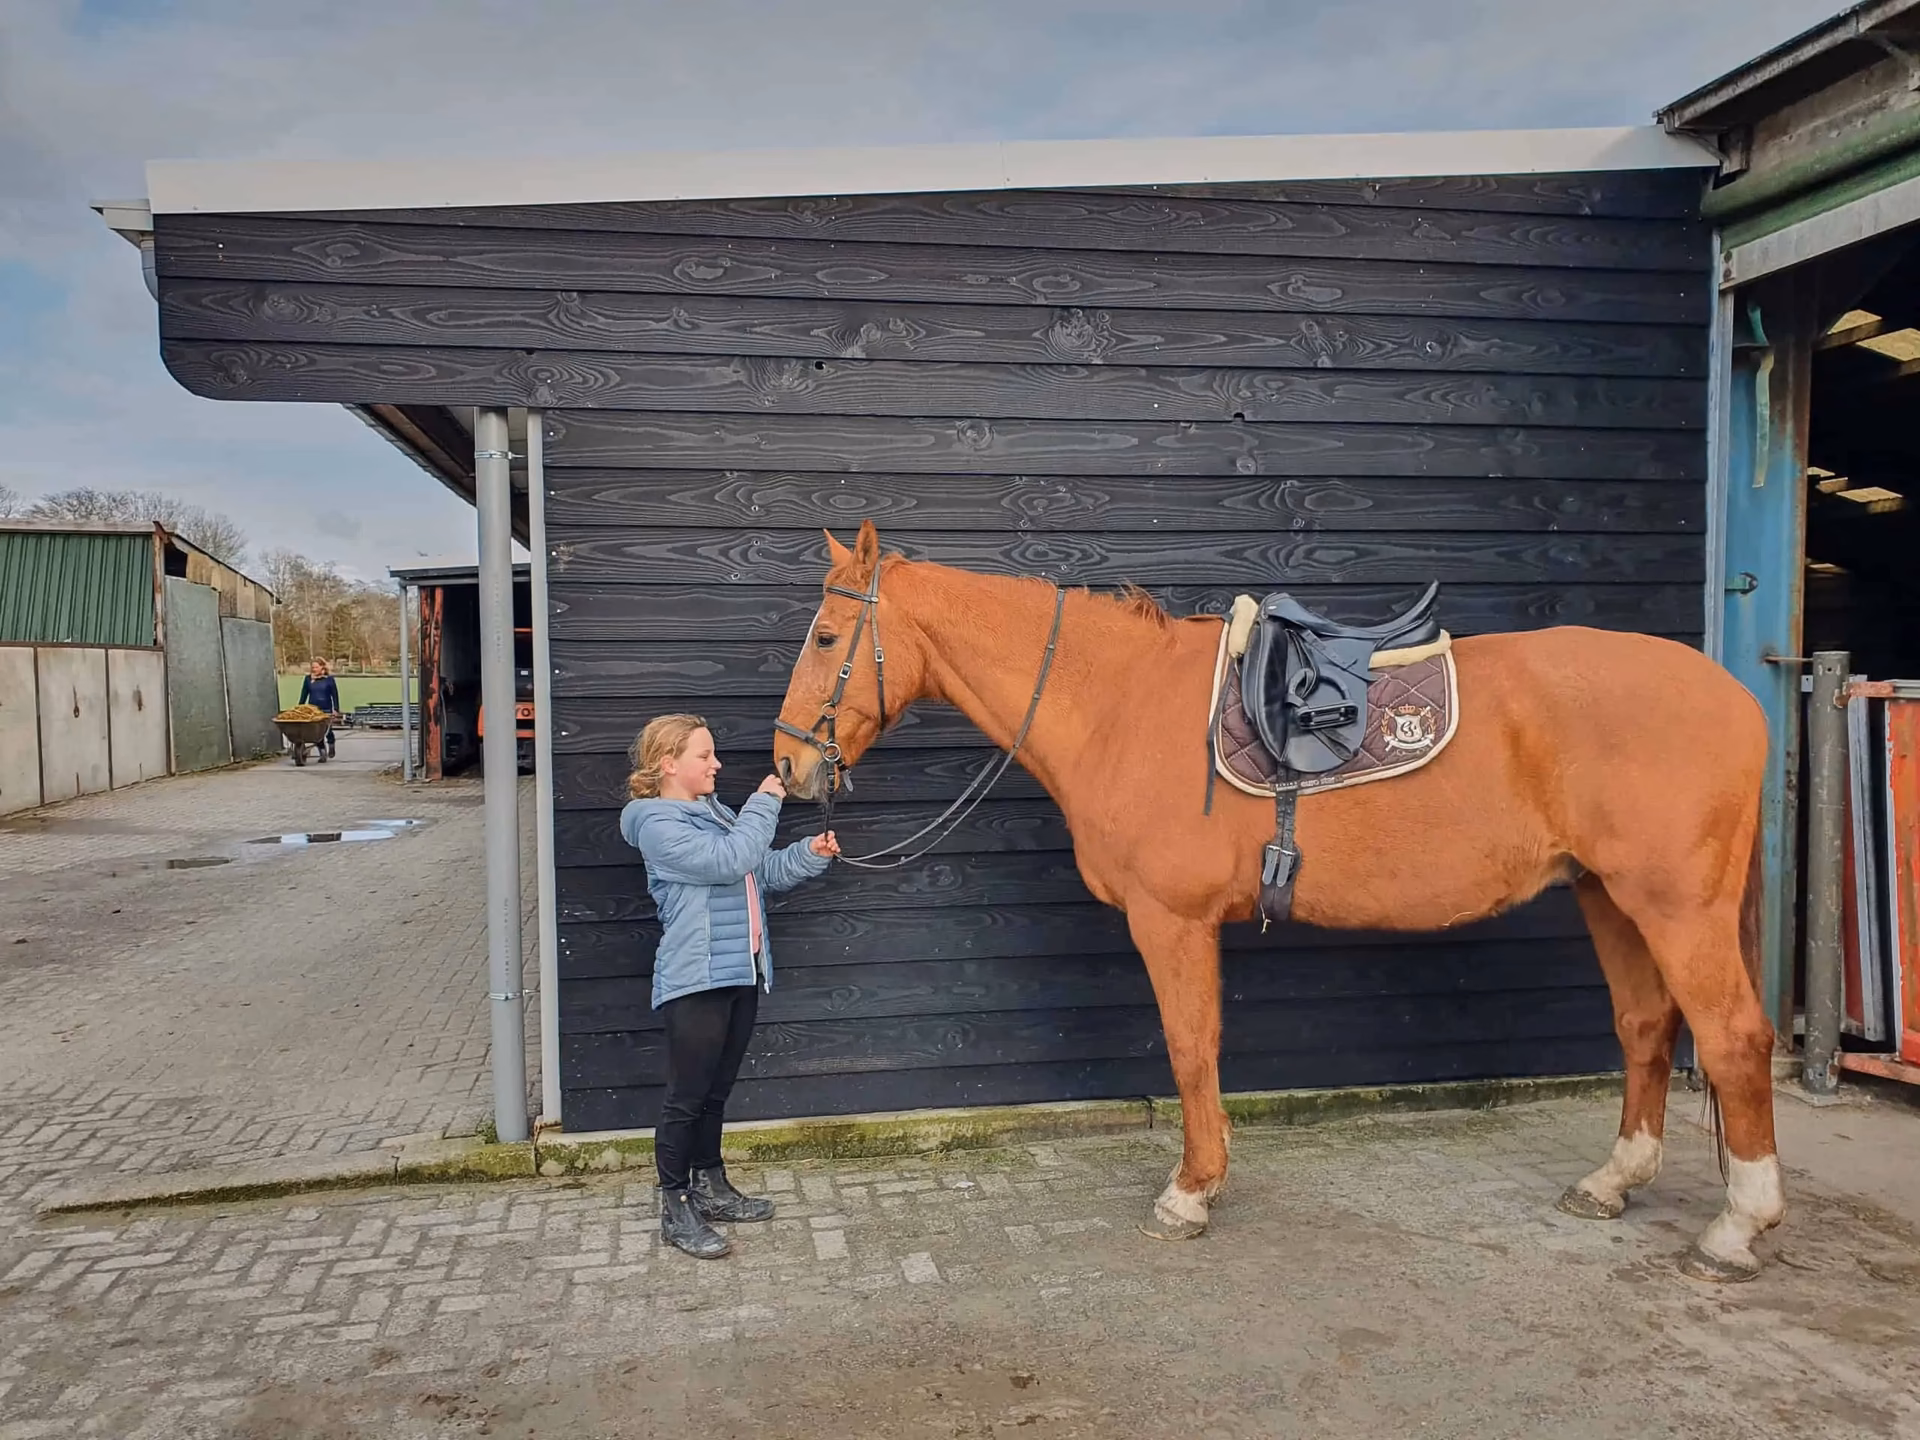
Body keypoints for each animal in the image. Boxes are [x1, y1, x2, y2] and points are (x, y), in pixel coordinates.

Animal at [771, 520, 1782, 1282]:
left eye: (824, 638)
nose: (788, 764)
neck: (1118, 701)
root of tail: (1736, 696)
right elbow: (1205, 1045)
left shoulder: (1170, 920)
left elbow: (1190, 1047)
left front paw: (1189, 1193)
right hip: (1611, 898)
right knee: (1646, 1027)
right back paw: (1614, 1181)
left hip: (1675, 908)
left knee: (1733, 1040)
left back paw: (1738, 1226)